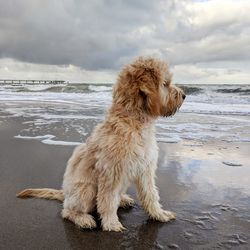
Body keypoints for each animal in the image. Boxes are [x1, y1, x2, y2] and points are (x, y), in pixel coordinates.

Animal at [16, 57, 186, 232]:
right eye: (165, 83)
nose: (184, 95)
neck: (133, 120)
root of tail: (65, 194)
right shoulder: (112, 172)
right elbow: (107, 201)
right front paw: (111, 223)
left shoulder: (145, 169)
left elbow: (151, 195)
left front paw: (160, 214)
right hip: (85, 190)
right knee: (68, 211)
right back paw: (83, 219)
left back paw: (123, 199)